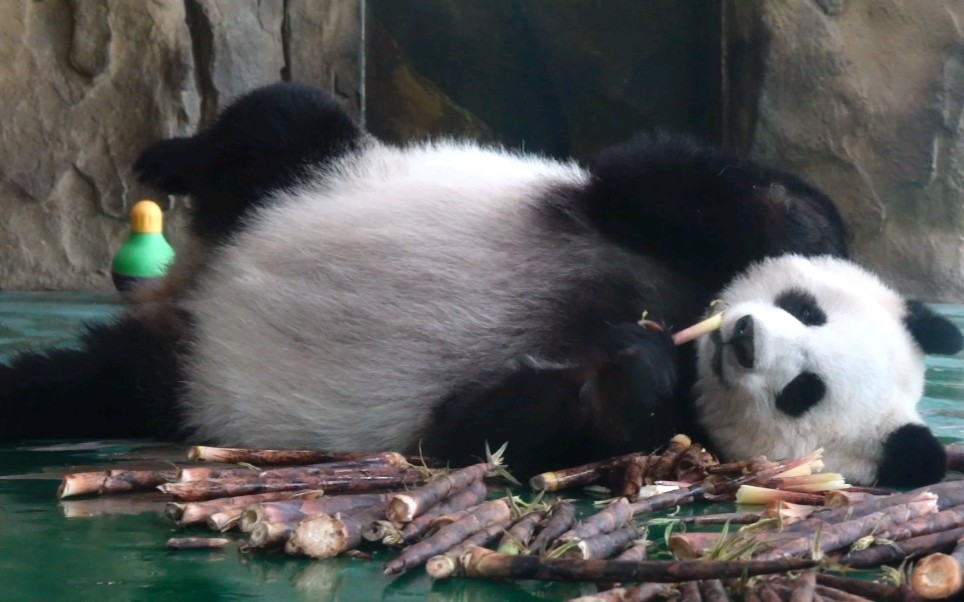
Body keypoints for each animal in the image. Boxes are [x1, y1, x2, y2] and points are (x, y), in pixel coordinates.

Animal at [0, 82, 956, 486]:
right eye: (805, 310)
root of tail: (193, 298)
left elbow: (485, 429)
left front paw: (635, 364)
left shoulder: (656, 431)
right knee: (280, 126)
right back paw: (169, 158)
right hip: (317, 173)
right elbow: (695, 185)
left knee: (76, 386)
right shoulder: (642, 213)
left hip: (166, 388)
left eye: (803, 392)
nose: (745, 337)